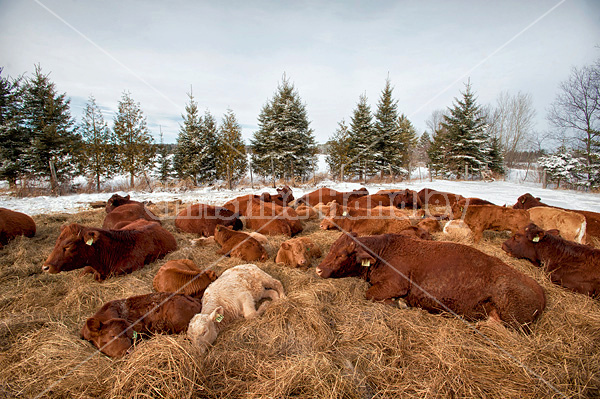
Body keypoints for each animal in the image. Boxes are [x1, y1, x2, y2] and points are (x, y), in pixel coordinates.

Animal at [316, 233, 548, 330]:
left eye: (342, 255)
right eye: (331, 249)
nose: (319, 269)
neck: (382, 253)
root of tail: (541, 291)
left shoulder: (395, 285)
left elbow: (370, 294)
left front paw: (401, 304)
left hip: (510, 314)